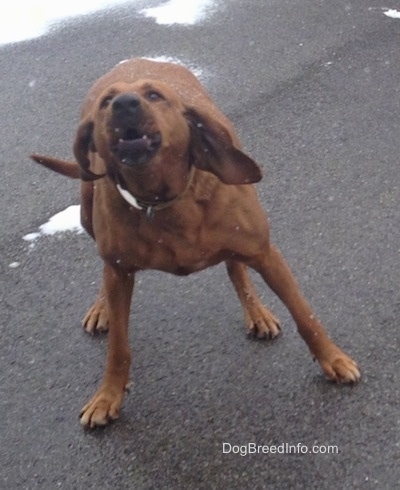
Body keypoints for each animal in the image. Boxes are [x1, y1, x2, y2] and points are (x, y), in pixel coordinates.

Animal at [31, 57, 360, 426]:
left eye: (154, 95)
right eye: (107, 102)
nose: (124, 104)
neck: (162, 200)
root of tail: (134, 61)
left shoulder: (266, 253)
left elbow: (306, 317)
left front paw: (333, 360)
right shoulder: (120, 270)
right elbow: (118, 347)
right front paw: (108, 396)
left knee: (235, 266)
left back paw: (256, 312)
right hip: (89, 216)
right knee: (105, 270)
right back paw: (101, 308)